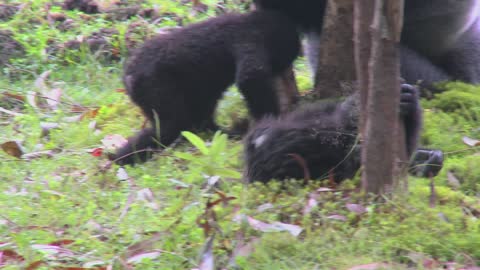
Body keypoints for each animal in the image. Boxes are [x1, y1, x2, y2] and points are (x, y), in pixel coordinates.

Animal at [112, 10, 300, 165]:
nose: (284, 67)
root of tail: (128, 76)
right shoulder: (248, 41)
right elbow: (250, 78)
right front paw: (270, 121)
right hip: (155, 86)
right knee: (169, 125)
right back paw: (121, 158)